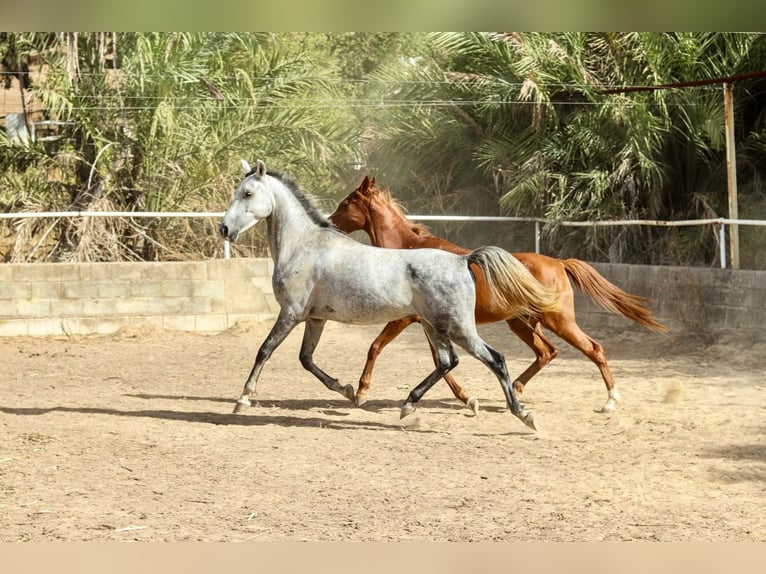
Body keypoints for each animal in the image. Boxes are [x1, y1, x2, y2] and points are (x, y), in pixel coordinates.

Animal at [219, 160, 560, 430]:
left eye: (247, 193)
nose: (224, 229)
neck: (305, 246)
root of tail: (463, 261)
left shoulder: (290, 313)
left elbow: (264, 350)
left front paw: (243, 399)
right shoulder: (315, 319)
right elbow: (307, 359)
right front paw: (348, 390)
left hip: (457, 327)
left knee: (495, 359)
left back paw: (524, 415)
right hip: (433, 326)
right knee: (447, 362)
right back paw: (408, 405)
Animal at [328, 178, 664, 416]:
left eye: (346, 203)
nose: (328, 222)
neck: (408, 251)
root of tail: (559, 263)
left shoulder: (407, 318)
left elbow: (377, 347)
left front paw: (360, 392)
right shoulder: (429, 323)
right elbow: (441, 361)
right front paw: (467, 399)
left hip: (558, 320)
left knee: (593, 349)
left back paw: (610, 401)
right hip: (523, 323)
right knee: (547, 352)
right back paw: (515, 389)